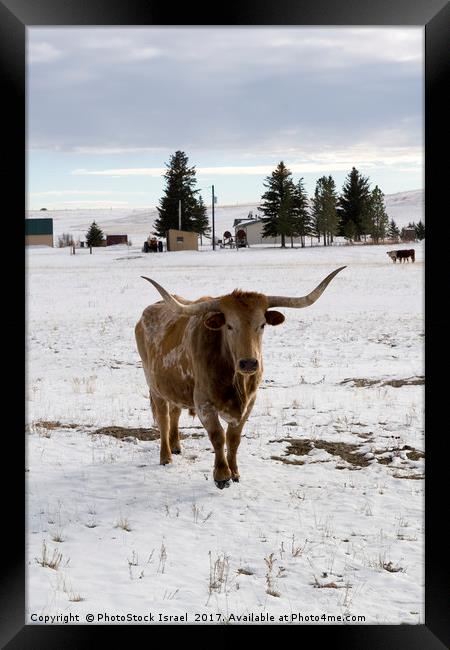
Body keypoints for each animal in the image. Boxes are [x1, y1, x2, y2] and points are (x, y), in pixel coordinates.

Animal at [135, 264, 346, 486]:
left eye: (262, 324)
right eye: (229, 325)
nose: (249, 363)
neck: (235, 380)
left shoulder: (249, 403)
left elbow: (234, 438)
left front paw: (235, 472)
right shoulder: (203, 403)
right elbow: (218, 436)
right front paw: (221, 475)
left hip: (175, 387)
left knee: (175, 411)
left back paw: (176, 446)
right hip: (154, 386)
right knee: (164, 418)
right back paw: (165, 456)